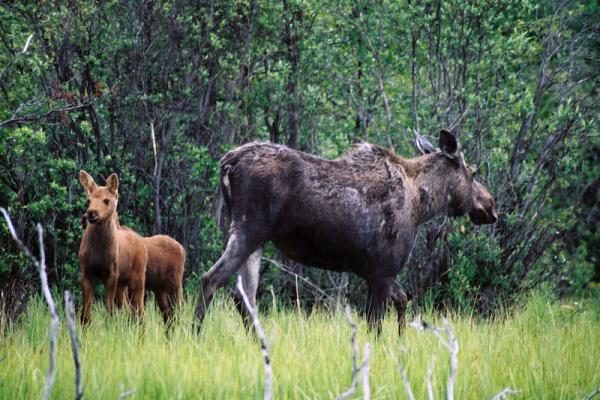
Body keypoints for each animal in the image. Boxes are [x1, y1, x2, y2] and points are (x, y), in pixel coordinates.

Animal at [78, 170, 147, 324]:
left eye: (106, 200)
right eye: (88, 200)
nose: (91, 213)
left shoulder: (112, 273)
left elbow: (110, 311)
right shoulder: (86, 272)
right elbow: (85, 314)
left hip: (137, 278)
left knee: (139, 311)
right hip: (123, 284)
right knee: (128, 310)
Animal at [193, 130, 496, 334]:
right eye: (472, 172)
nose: (490, 206)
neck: (422, 205)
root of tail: (227, 163)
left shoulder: (374, 271)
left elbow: (402, 299)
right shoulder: (383, 271)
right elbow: (376, 325)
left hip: (255, 239)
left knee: (243, 295)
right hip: (249, 229)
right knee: (210, 280)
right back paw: (194, 337)